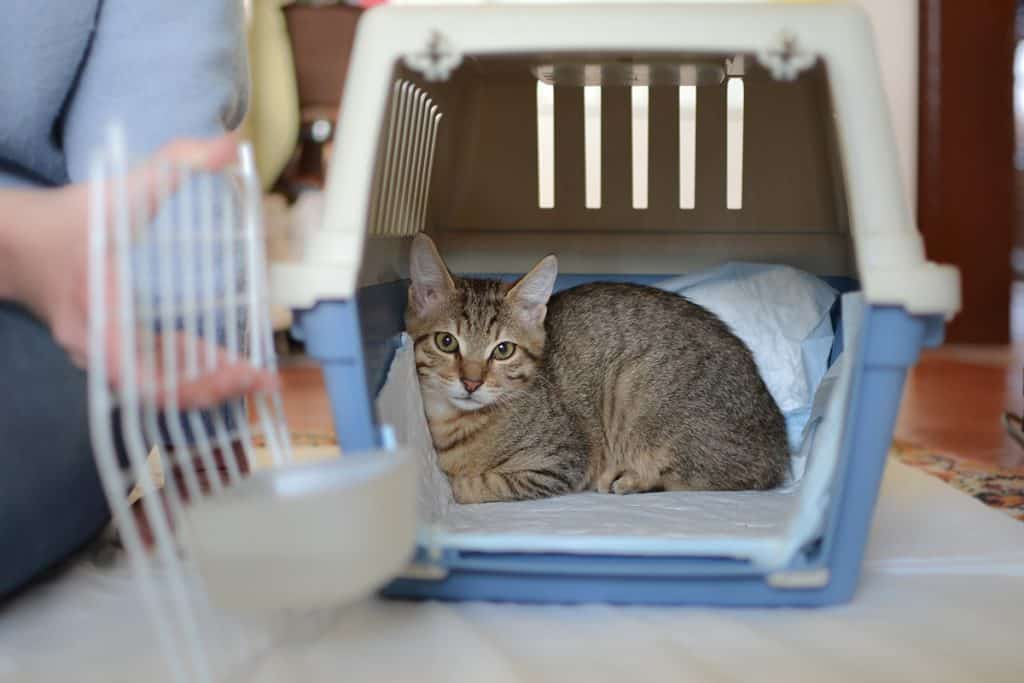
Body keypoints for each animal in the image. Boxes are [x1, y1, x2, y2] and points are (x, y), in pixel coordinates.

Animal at [403, 235, 786, 507]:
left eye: (503, 350)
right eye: (446, 342)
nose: (471, 382)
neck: (456, 424)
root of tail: (779, 444)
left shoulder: (562, 461)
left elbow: (478, 485)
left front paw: (457, 484)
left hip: (641, 393)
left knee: (716, 477)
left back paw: (629, 479)